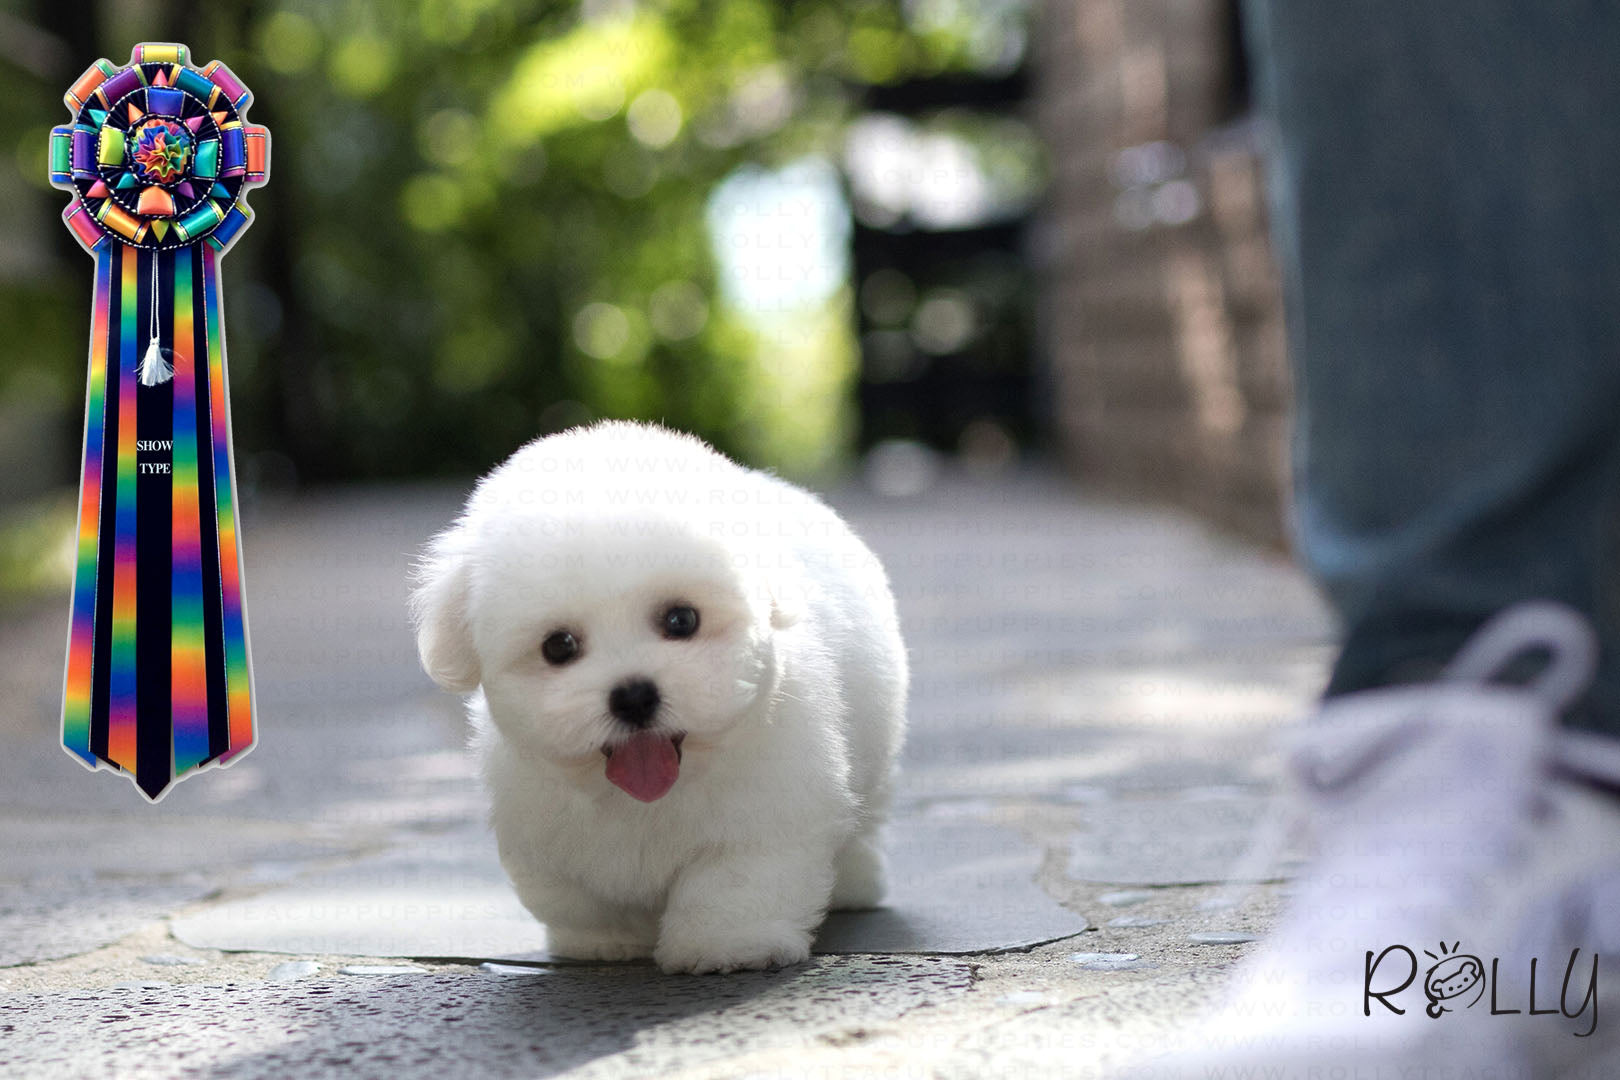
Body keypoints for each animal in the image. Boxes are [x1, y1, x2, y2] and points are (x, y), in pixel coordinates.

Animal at [411, 420, 907, 971]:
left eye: (681, 619)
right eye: (558, 646)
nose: (633, 696)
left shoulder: (766, 809)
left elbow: (736, 879)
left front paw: (726, 945)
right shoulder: (542, 826)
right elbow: (577, 895)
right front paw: (605, 941)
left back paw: (856, 881)